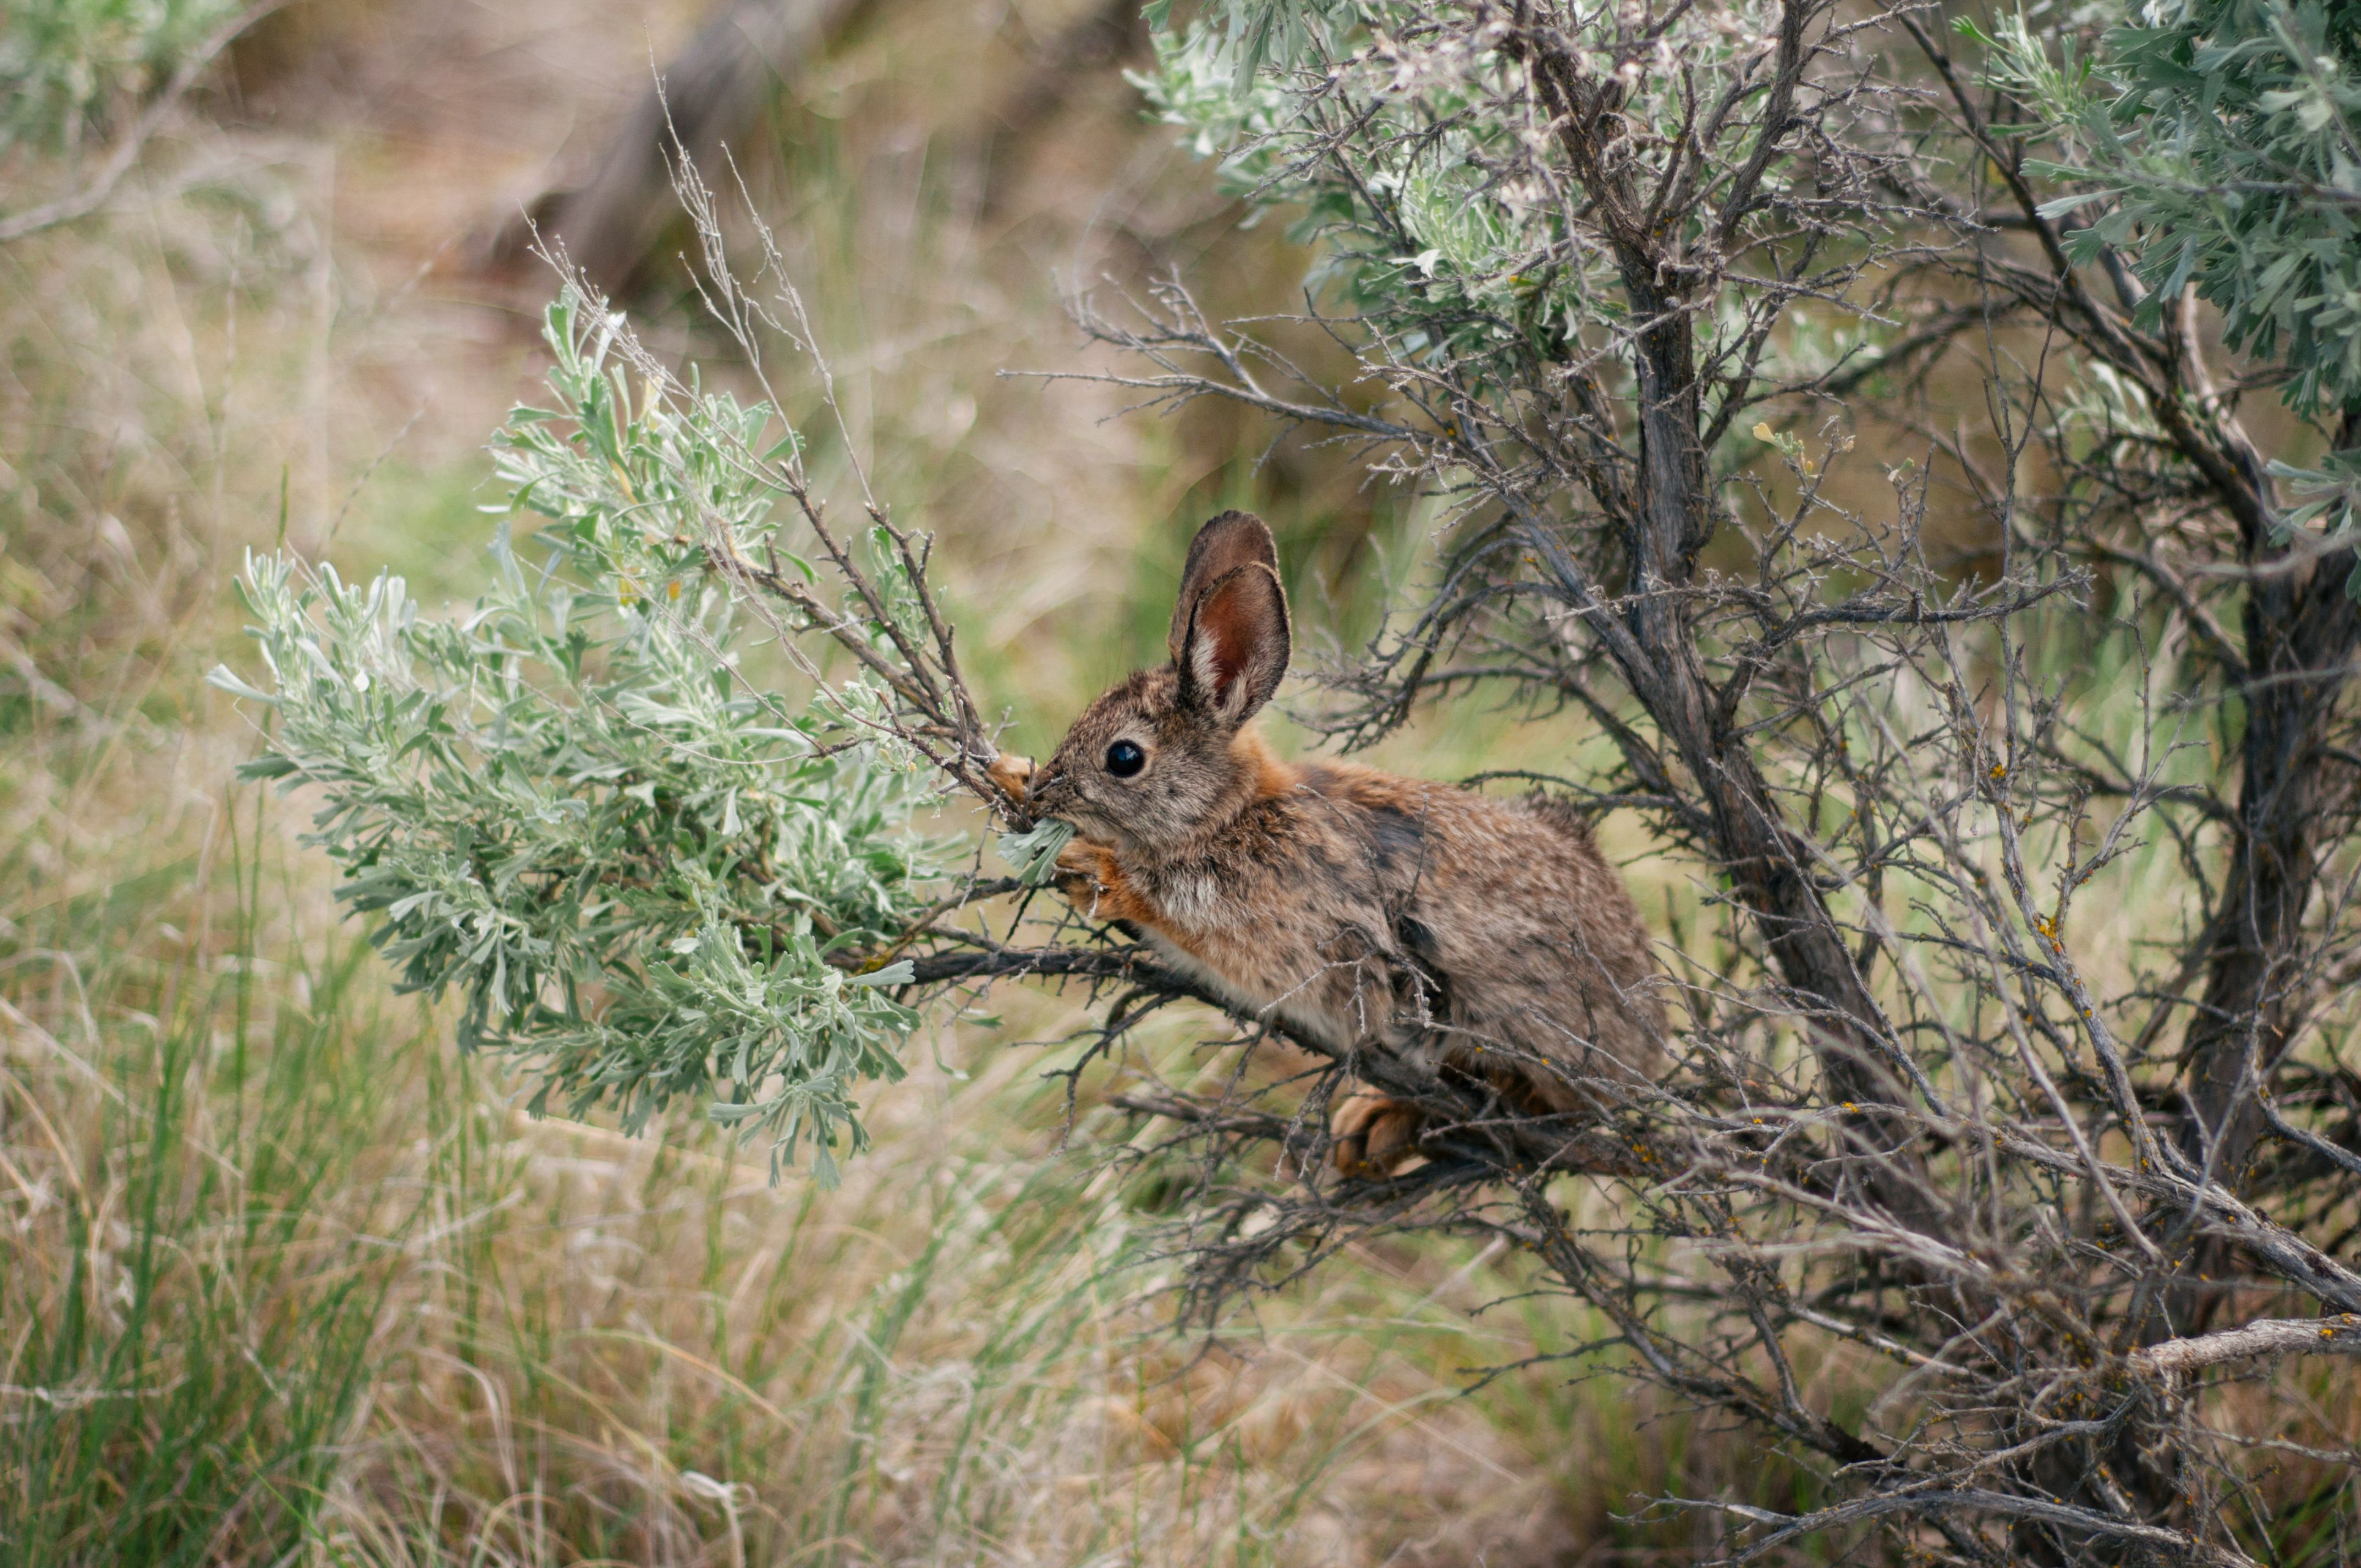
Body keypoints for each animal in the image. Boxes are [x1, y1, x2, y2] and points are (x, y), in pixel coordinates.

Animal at [996, 507, 1662, 1171]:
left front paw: (1096, 869)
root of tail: (1647, 1048)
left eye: (1125, 757)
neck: (1227, 816)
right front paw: (1009, 773)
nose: (1044, 795)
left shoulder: (1286, 940)